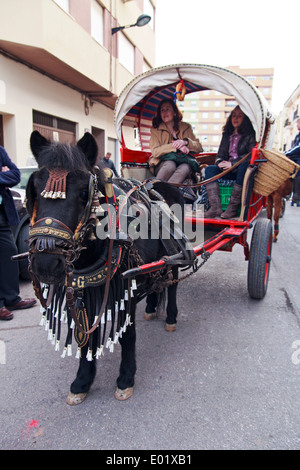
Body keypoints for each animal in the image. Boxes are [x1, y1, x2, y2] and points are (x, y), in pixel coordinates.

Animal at [26, 130, 195, 406]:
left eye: (84, 192)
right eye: (35, 189)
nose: (46, 263)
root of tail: (162, 184)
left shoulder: (125, 288)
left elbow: (127, 335)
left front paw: (126, 378)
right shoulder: (82, 289)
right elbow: (85, 334)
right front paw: (82, 380)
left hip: (174, 257)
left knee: (171, 284)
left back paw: (170, 316)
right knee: (156, 281)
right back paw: (151, 307)